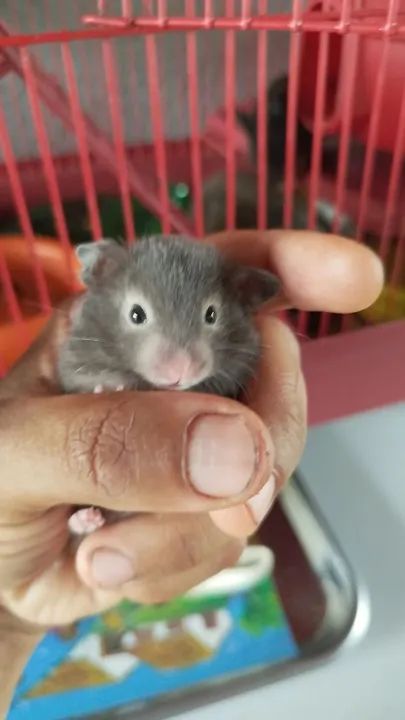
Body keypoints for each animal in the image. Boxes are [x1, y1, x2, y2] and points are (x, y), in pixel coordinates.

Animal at [58, 234, 280, 535]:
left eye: (211, 315)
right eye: (136, 314)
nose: (180, 371)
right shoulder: (74, 364)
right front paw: (108, 389)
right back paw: (86, 520)